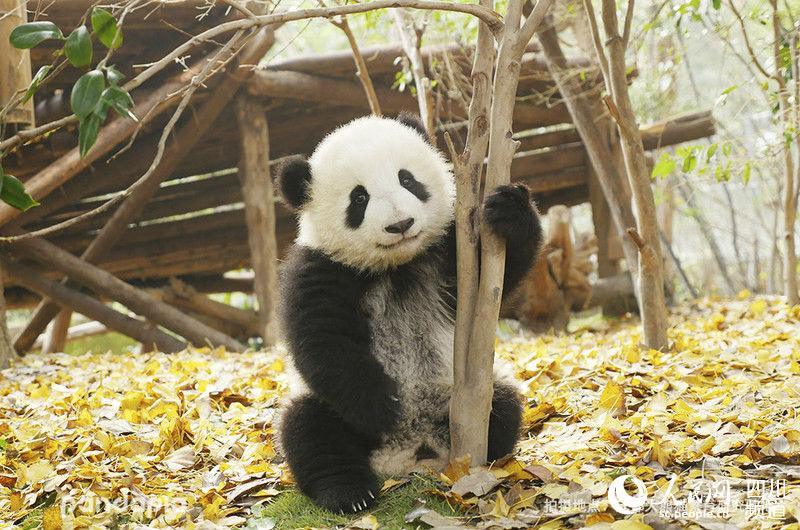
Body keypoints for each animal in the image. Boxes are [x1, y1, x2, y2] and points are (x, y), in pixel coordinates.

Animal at [276, 112, 544, 512]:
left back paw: (486, 460)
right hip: (327, 411)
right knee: (311, 430)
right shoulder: (321, 269)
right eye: (359, 198)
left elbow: (495, 279)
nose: (400, 224)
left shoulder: (448, 254)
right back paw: (349, 492)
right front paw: (382, 405)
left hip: (458, 393)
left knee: (503, 405)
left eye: (407, 179)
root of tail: (407, 454)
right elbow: (323, 339)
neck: (395, 266)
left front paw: (510, 211)